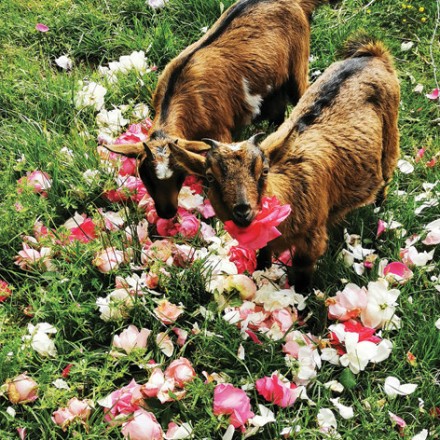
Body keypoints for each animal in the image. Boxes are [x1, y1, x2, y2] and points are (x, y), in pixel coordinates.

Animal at [169, 36, 402, 292]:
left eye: (264, 171)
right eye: (210, 177)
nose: (243, 210)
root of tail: (372, 55)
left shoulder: (311, 240)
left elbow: (302, 273)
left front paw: (301, 298)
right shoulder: (267, 242)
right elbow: (263, 256)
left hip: (391, 135)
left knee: (387, 173)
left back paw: (379, 205)